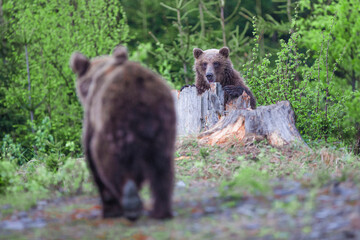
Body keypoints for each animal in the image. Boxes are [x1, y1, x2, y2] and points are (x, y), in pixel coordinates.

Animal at [70, 46, 176, 220]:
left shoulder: (92, 118)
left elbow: (92, 158)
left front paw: (110, 209)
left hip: (114, 126)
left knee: (110, 160)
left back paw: (130, 201)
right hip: (164, 126)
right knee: (162, 167)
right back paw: (160, 211)